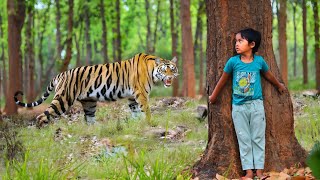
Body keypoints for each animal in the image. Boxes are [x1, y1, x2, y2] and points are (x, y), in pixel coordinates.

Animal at [14, 53, 178, 126]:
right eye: (165, 70)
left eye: (173, 69)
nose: (170, 77)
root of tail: (61, 74)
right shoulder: (141, 94)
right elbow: (147, 109)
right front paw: (150, 123)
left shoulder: (133, 96)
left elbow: (136, 110)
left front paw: (136, 123)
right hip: (63, 100)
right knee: (42, 116)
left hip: (89, 103)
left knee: (89, 120)